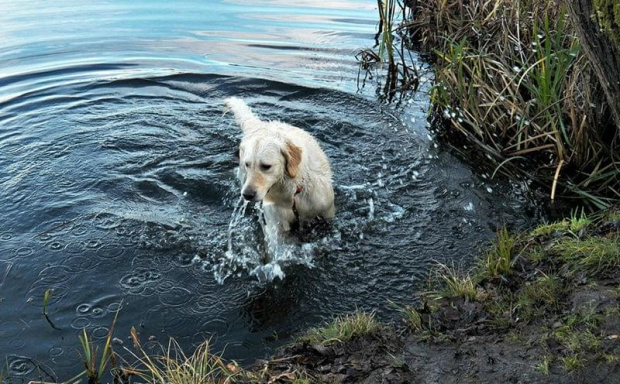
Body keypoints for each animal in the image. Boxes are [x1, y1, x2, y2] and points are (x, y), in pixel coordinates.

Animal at [225, 97, 334, 232]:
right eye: (247, 164)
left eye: (266, 166)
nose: (247, 195)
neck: (293, 192)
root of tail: (261, 125)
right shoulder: (277, 224)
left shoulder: (326, 210)